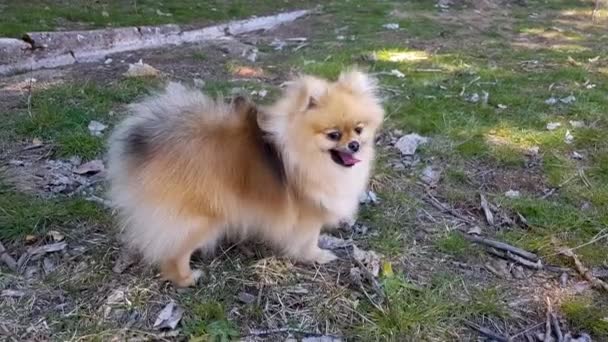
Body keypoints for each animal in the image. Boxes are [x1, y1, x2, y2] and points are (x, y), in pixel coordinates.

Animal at [108, 69, 384, 286]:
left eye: (359, 129)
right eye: (333, 135)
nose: (355, 145)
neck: (306, 154)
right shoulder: (308, 213)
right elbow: (308, 240)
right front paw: (317, 256)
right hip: (201, 219)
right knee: (174, 253)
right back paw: (186, 278)